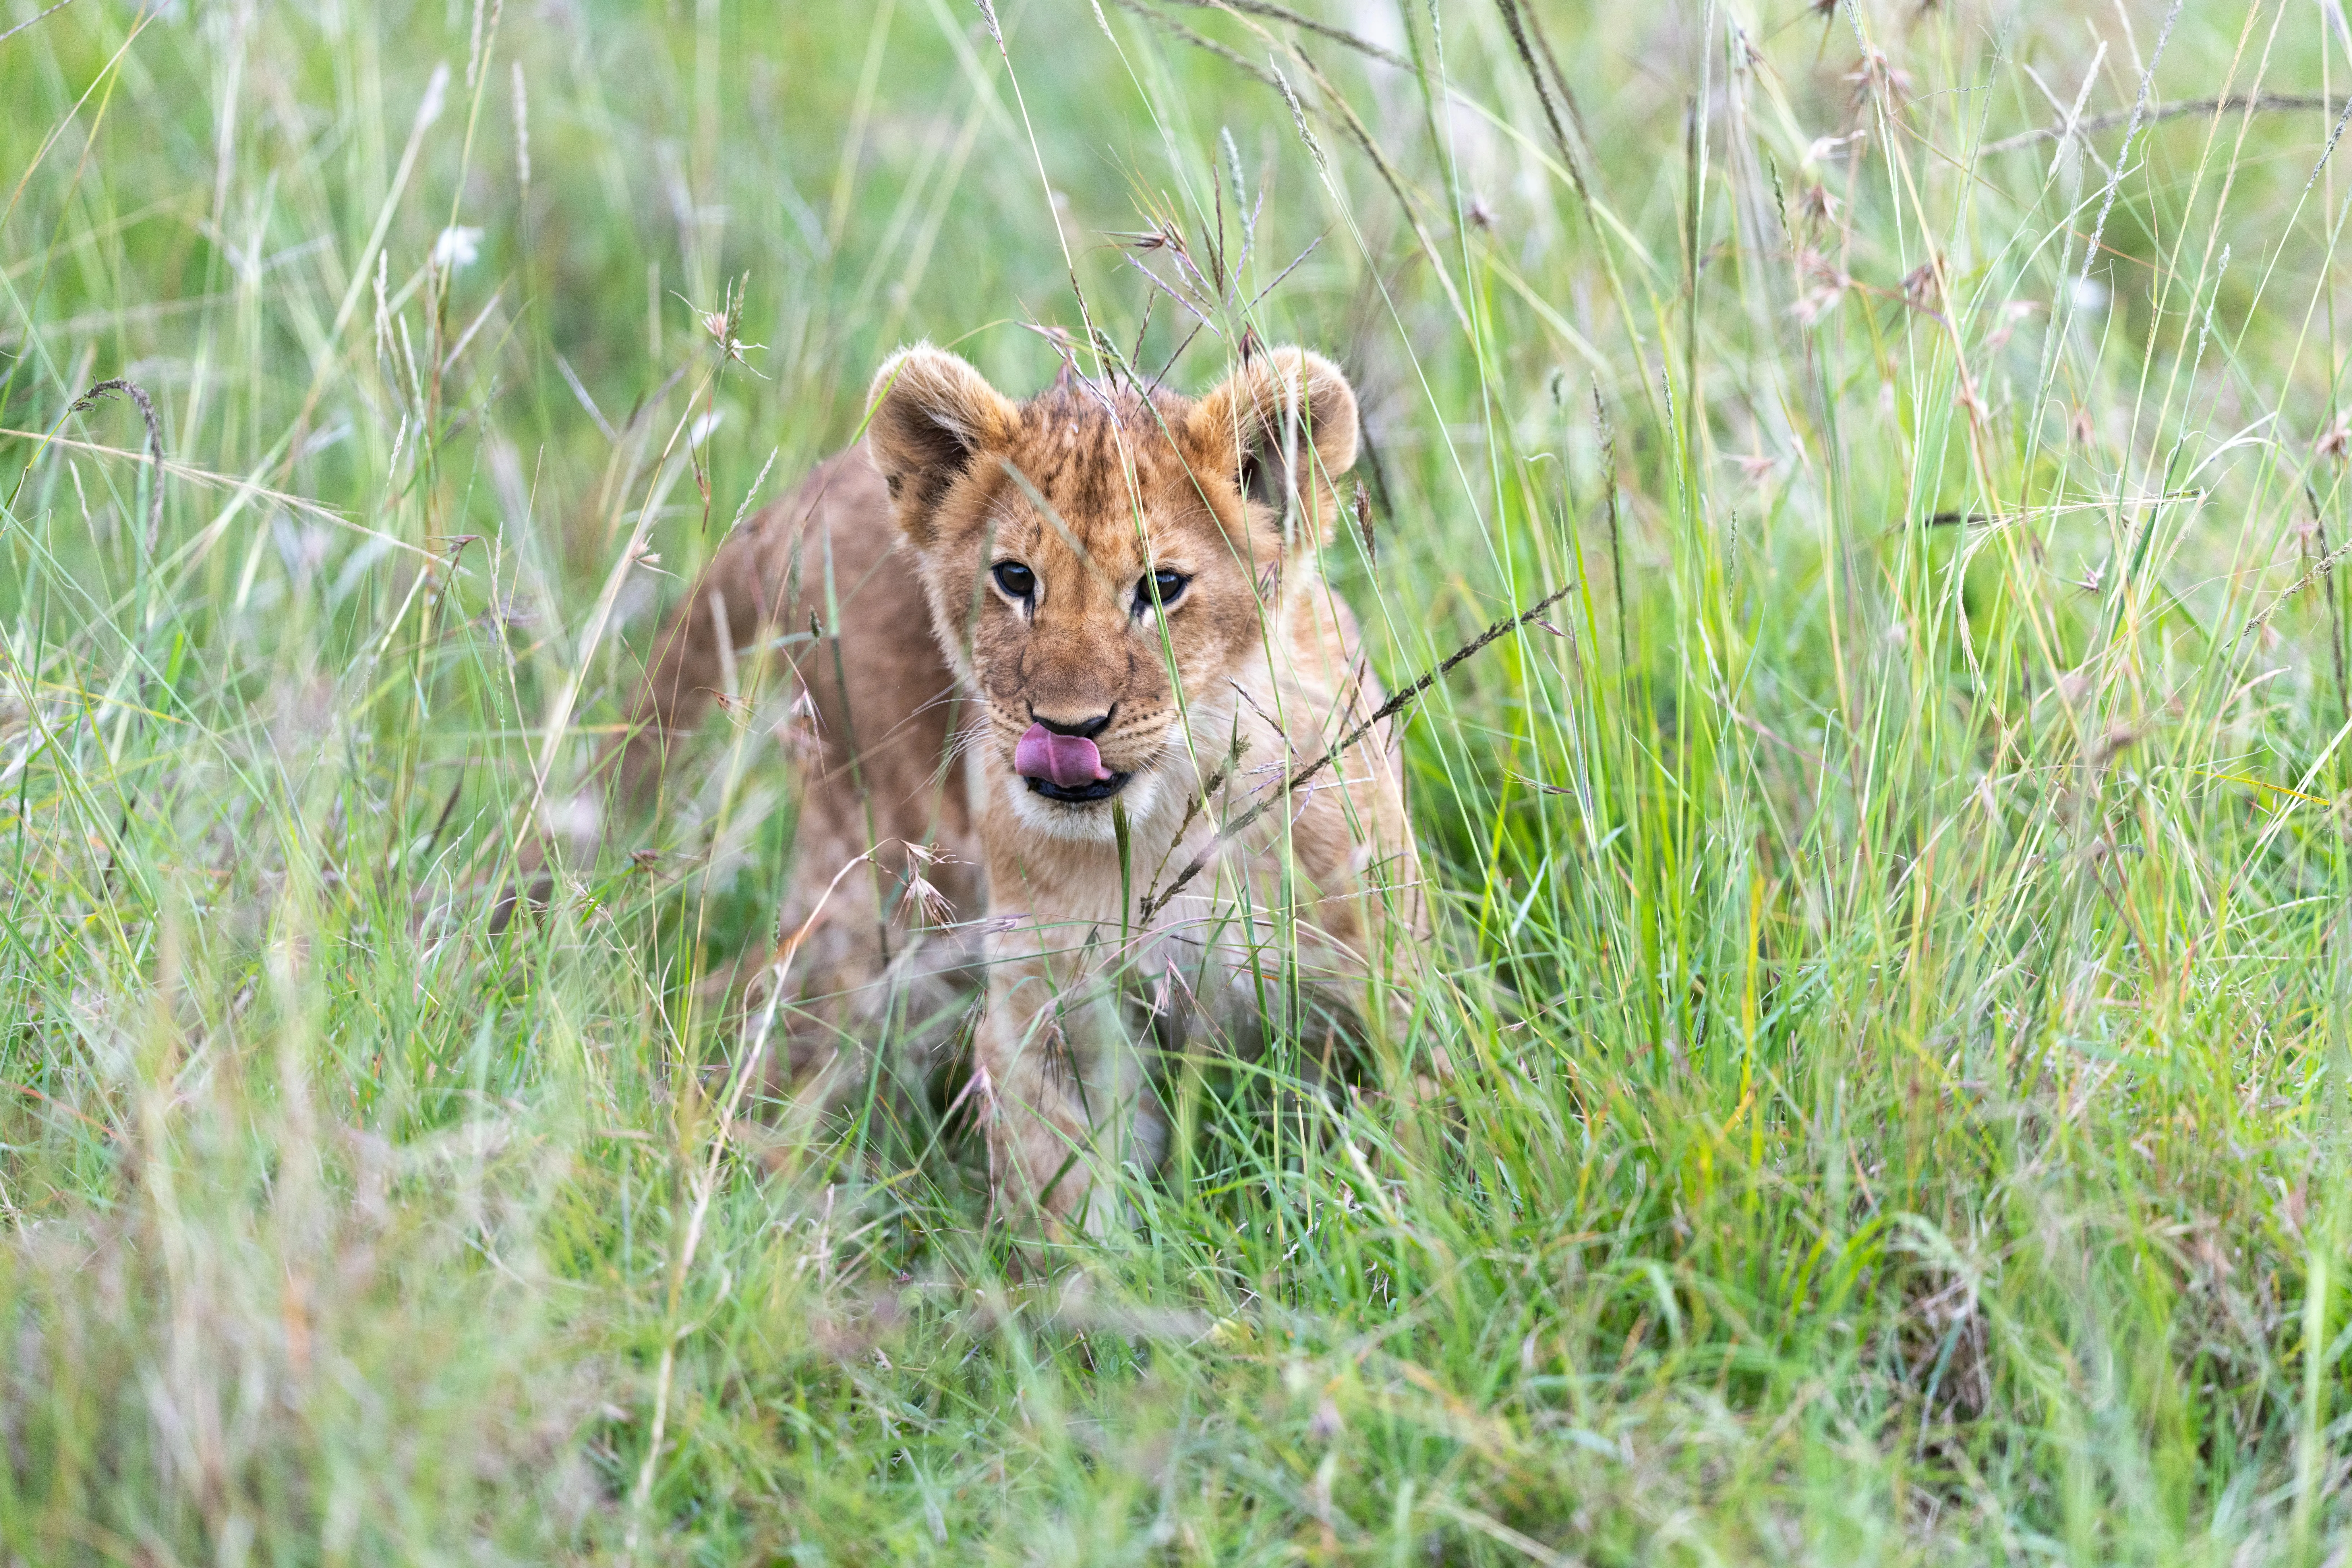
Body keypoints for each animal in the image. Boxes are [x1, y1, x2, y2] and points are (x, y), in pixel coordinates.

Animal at [589, 343, 1428, 1235]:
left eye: (1163, 587)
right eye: (1016, 578)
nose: (1067, 728)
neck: (1171, 820)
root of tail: (805, 491)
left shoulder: (1378, 989)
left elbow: (1407, 1142)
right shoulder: (1051, 1016)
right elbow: (1064, 1205)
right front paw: (1091, 1273)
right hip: (870, 892)